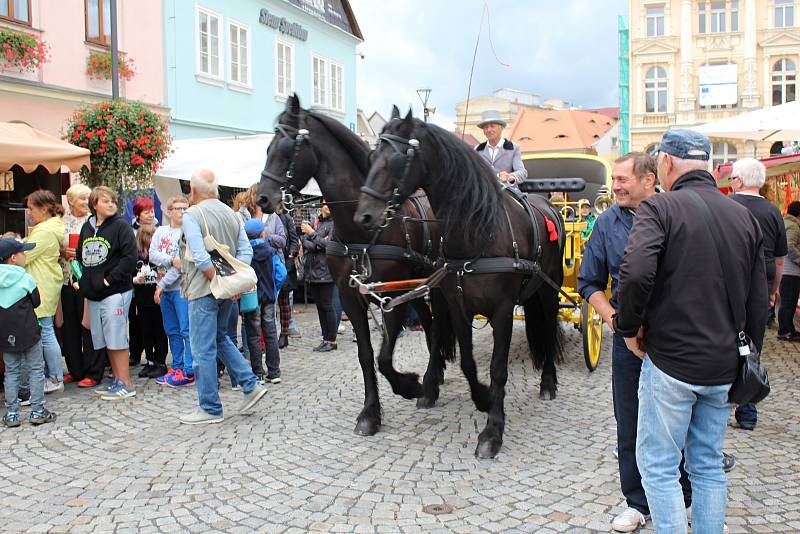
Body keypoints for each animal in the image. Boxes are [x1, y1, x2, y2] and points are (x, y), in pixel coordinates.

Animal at [258, 97, 454, 440]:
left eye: (286, 147)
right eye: (267, 147)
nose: (262, 198)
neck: (361, 232)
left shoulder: (390, 298)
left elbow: (385, 357)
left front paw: (409, 385)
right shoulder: (351, 296)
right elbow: (366, 356)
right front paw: (370, 413)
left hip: (438, 285)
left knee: (439, 323)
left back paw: (429, 383)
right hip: (418, 288)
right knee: (429, 324)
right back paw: (435, 376)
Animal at [354, 110, 564, 460]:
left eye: (396, 159)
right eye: (371, 158)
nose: (363, 217)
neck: (478, 231)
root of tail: (548, 204)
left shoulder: (503, 311)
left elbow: (498, 368)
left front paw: (493, 431)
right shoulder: (458, 305)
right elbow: (467, 362)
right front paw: (482, 398)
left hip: (548, 289)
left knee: (547, 330)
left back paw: (548, 383)